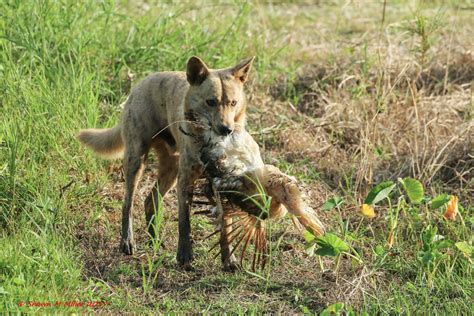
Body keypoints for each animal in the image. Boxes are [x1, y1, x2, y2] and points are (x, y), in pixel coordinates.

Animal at [78, 56, 256, 270]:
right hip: (136, 161)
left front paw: (229, 259)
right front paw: (184, 256)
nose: (226, 129)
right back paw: (128, 242)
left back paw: (155, 242)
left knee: (150, 201)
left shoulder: (221, 184)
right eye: (211, 102)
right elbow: (184, 221)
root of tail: (140, 84)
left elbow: (226, 227)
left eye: (233, 103)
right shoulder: (185, 180)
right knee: (128, 203)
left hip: (170, 171)